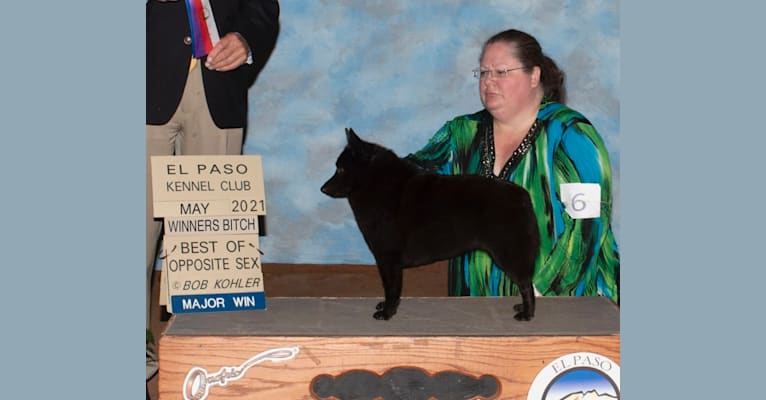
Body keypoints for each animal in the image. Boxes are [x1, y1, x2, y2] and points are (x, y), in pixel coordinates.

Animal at [320, 128, 544, 322]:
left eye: (340, 168)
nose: (323, 188)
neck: (378, 185)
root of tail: (523, 196)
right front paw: (386, 307)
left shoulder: (388, 258)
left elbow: (391, 289)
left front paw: (387, 313)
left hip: (509, 254)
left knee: (526, 285)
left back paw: (527, 314)